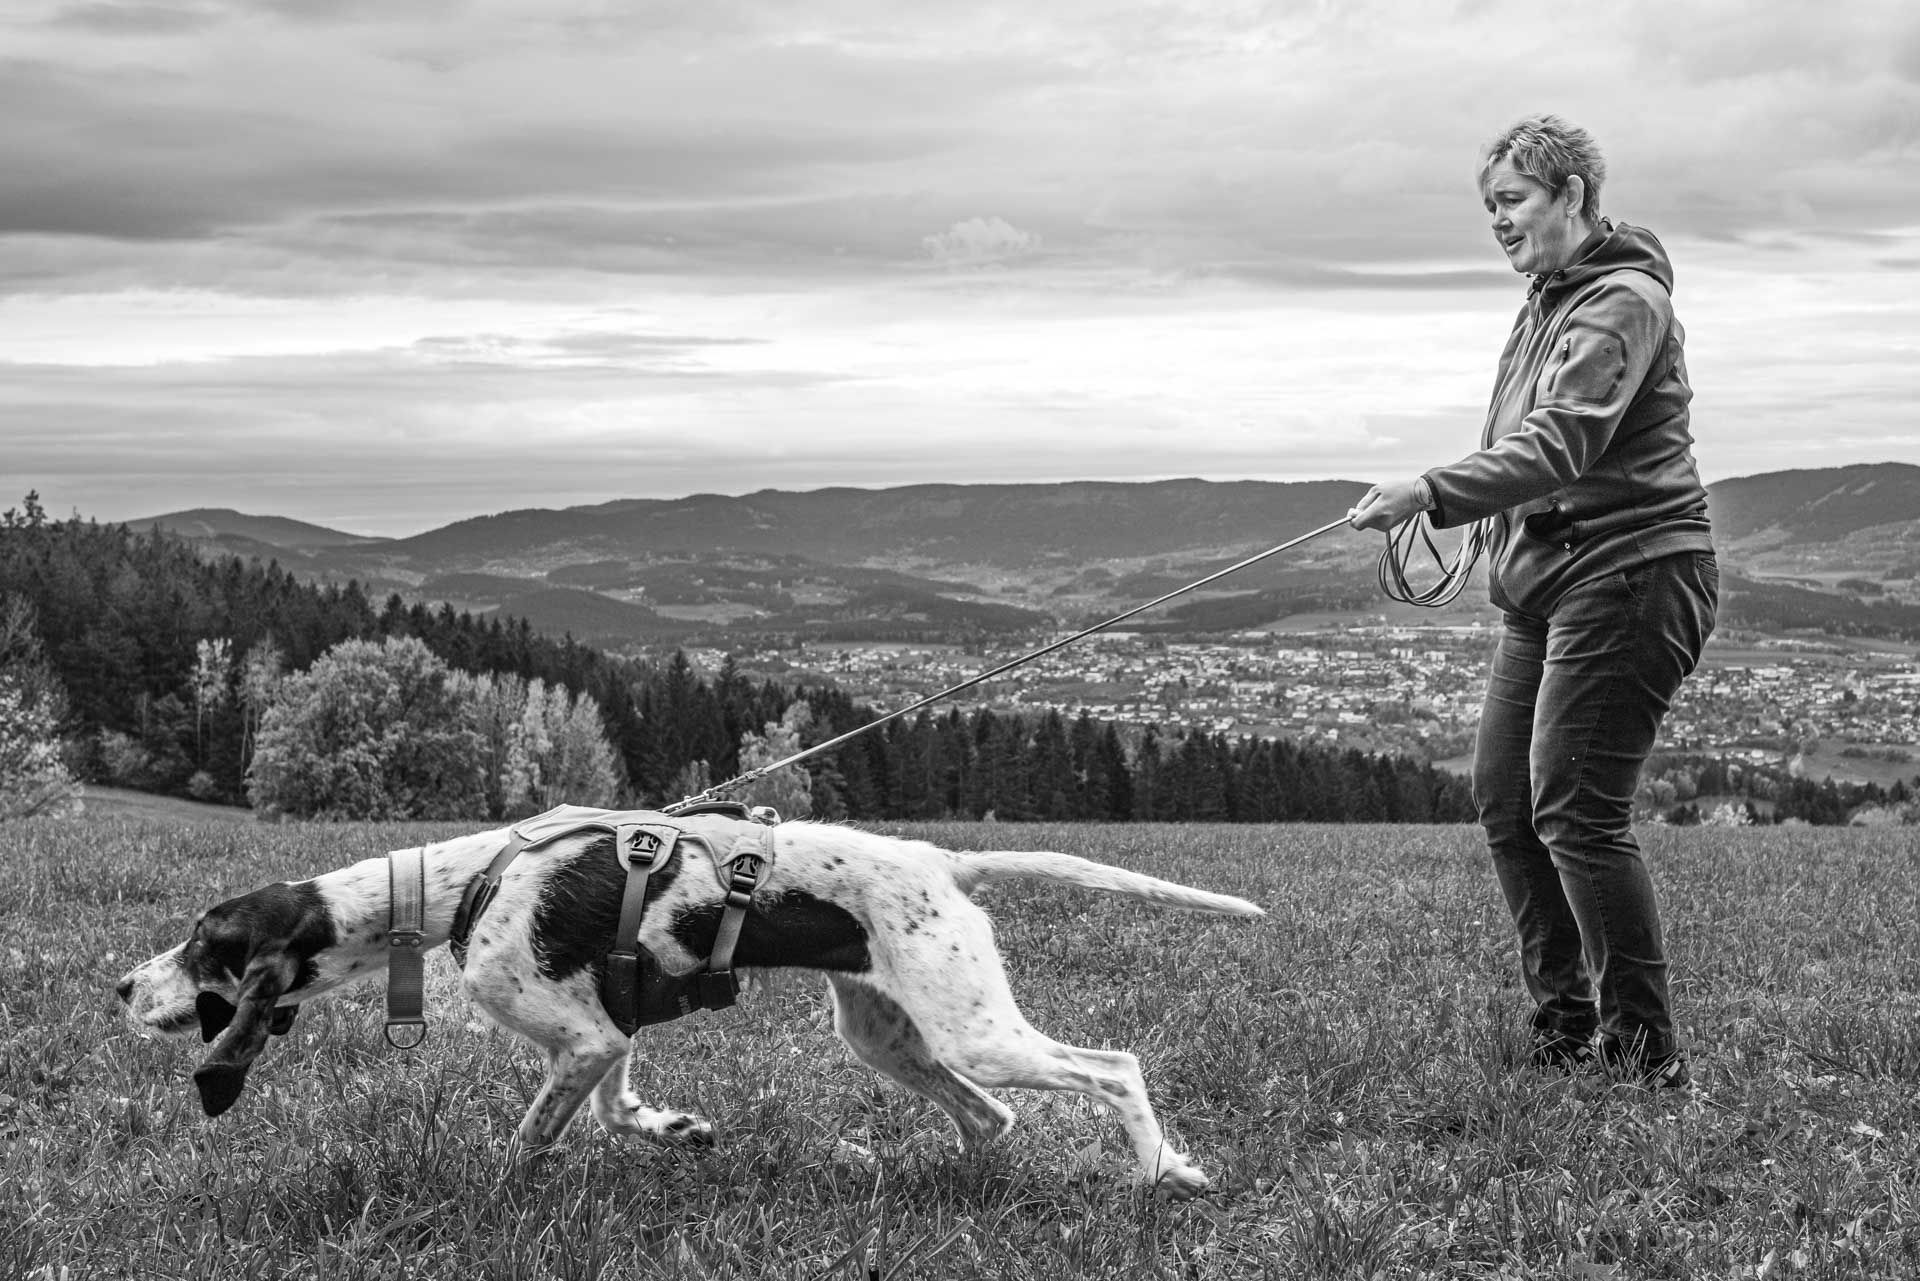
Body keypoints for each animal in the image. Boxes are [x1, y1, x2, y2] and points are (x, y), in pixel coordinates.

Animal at [116, 818, 1259, 1198]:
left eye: (206, 946)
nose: (121, 986)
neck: (455, 886)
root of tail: (941, 858)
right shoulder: (605, 1033)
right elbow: (619, 1107)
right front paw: (675, 1130)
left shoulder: (578, 1038)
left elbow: (529, 1141)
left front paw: (495, 1204)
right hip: (887, 1033)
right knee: (992, 1117)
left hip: (971, 1026)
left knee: (1113, 1068)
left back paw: (1166, 1171)